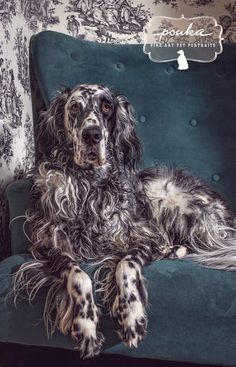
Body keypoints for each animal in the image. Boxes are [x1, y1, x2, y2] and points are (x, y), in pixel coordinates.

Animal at [12, 84, 236, 360]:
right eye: (74, 107)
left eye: (107, 107)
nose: (92, 135)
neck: (90, 188)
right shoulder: (48, 244)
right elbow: (77, 274)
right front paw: (85, 325)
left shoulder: (145, 236)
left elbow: (125, 265)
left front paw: (131, 316)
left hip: (172, 201)